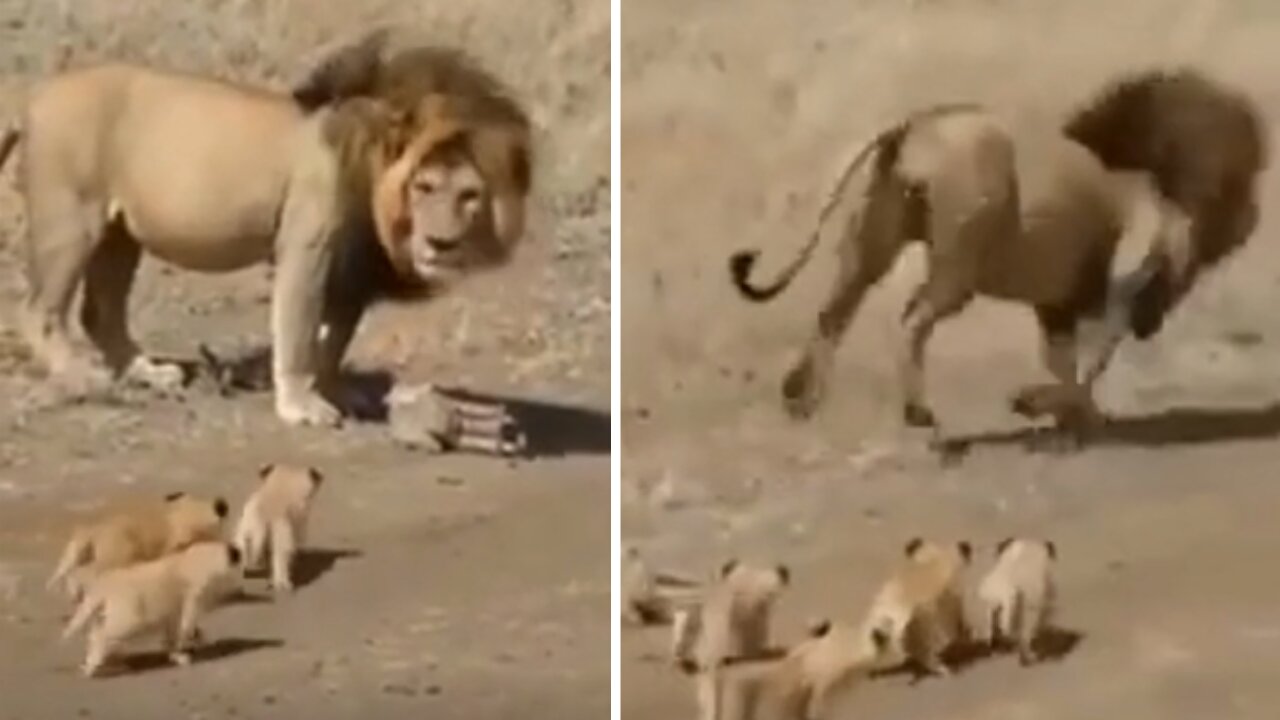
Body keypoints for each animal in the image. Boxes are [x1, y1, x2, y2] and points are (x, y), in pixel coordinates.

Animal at [0, 30, 529, 425]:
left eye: (469, 195)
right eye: (425, 186)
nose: (442, 242)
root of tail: (33, 96)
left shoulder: (350, 270)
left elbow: (334, 339)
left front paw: (336, 392)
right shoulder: (307, 248)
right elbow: (298, 332)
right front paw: (301, 405)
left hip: (121, 234)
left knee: (101, 311)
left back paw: (147, 371)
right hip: (72, 221)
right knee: (39, 309)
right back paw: (82, 377)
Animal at [727, 68, 1264, 438]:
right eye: (1240, 191)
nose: (1251, 220)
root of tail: (917, 123)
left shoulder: (1060, 301)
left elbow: (1065, 362)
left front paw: (1071, 415)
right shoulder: (1121, 284)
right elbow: (1091, 361)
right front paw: (1041, 406)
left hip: (871, 244)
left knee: (833, 313)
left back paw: (801, 399)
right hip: (959, 261)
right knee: (911, 320)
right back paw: (917, 412)